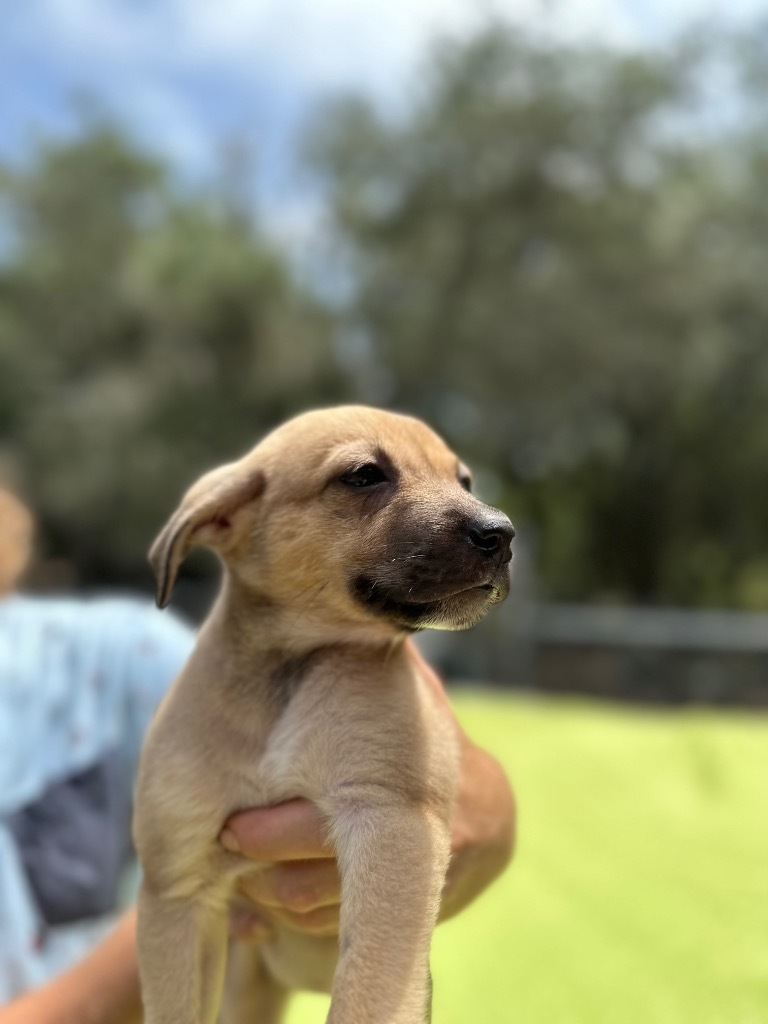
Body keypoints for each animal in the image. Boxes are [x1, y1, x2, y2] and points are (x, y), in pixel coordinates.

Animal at [134, 405, 514, 1024]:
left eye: (465, 481)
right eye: (363, 475)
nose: (501, 533)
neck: (292, 675)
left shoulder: (391, 822)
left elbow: (369, 990)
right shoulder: (179, 889)